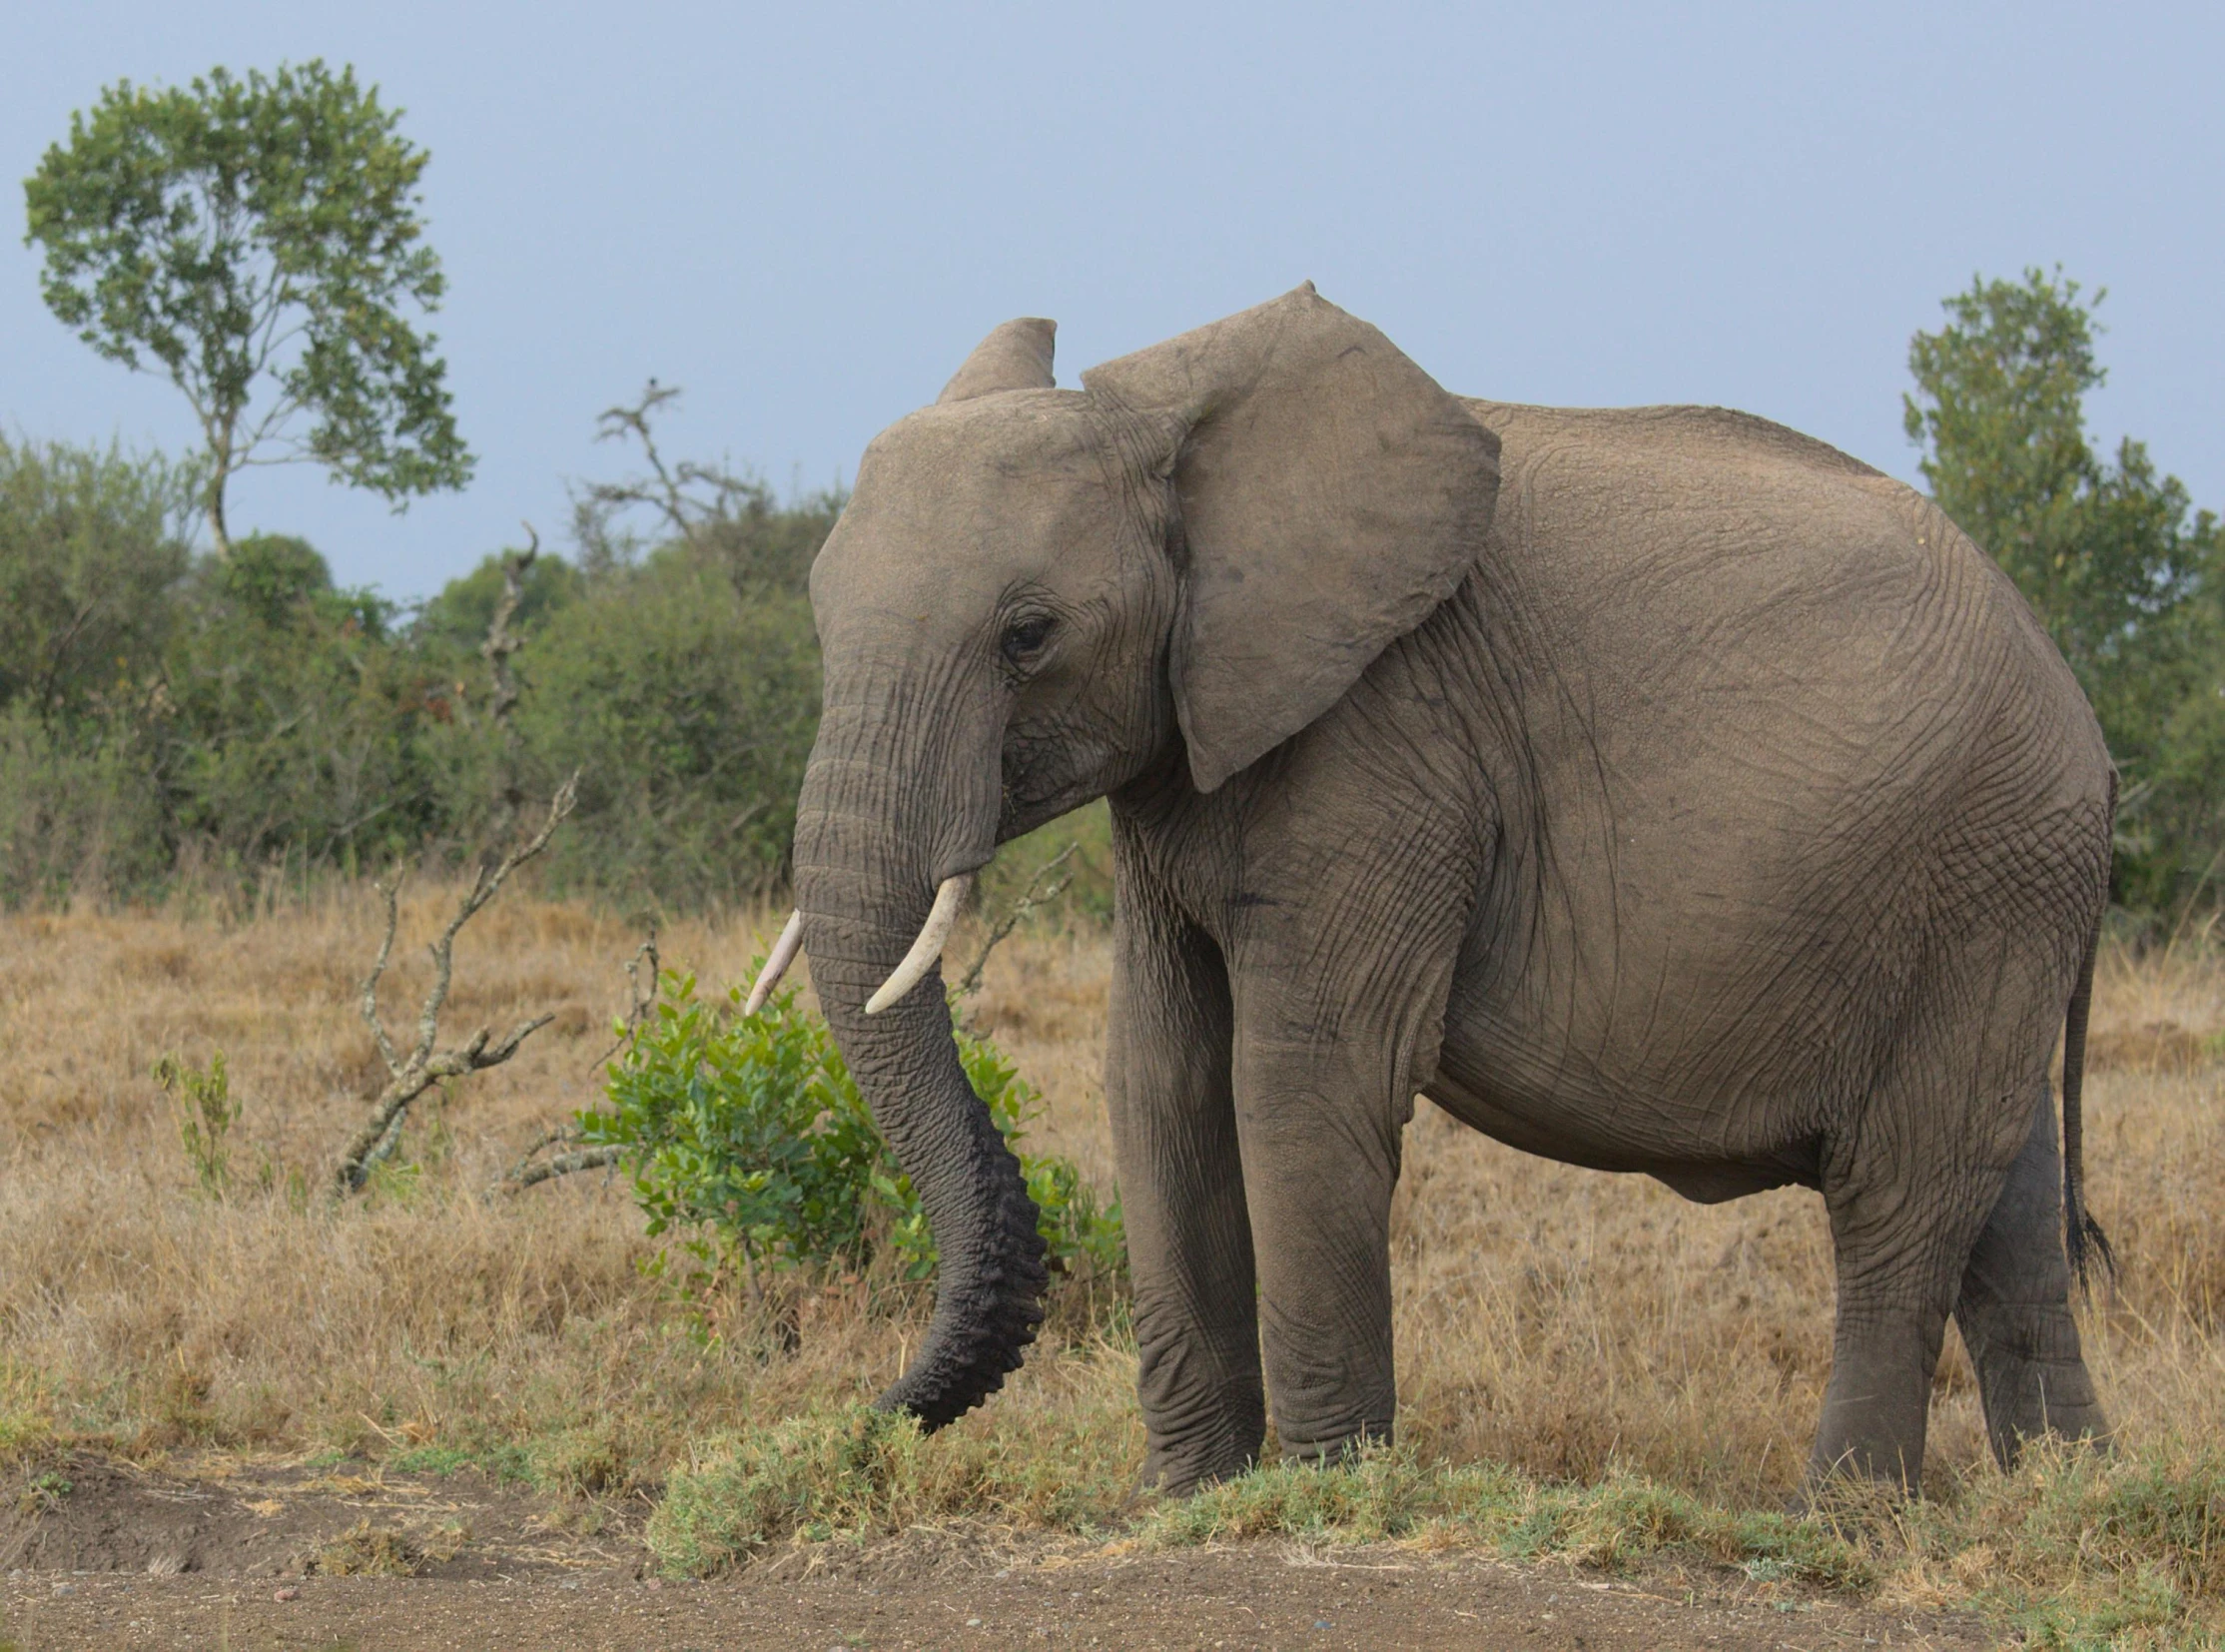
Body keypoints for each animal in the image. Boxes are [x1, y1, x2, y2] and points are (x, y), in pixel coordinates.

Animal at [760, 281, 2100, 1504]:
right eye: (816, 616)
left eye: (1027, 634)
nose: (852, 1420)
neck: (1170, 428)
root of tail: (2074, 700)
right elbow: (1157, 1075)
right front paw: (1183, 1498)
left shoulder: (1385, 739)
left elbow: (1300, 1076)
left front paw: (1323, 1494)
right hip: (1999, 893)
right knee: (2008, 1213)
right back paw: (2067, 1493)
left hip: (1980, 874)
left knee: (1900, 1195)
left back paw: (1845, 1513)